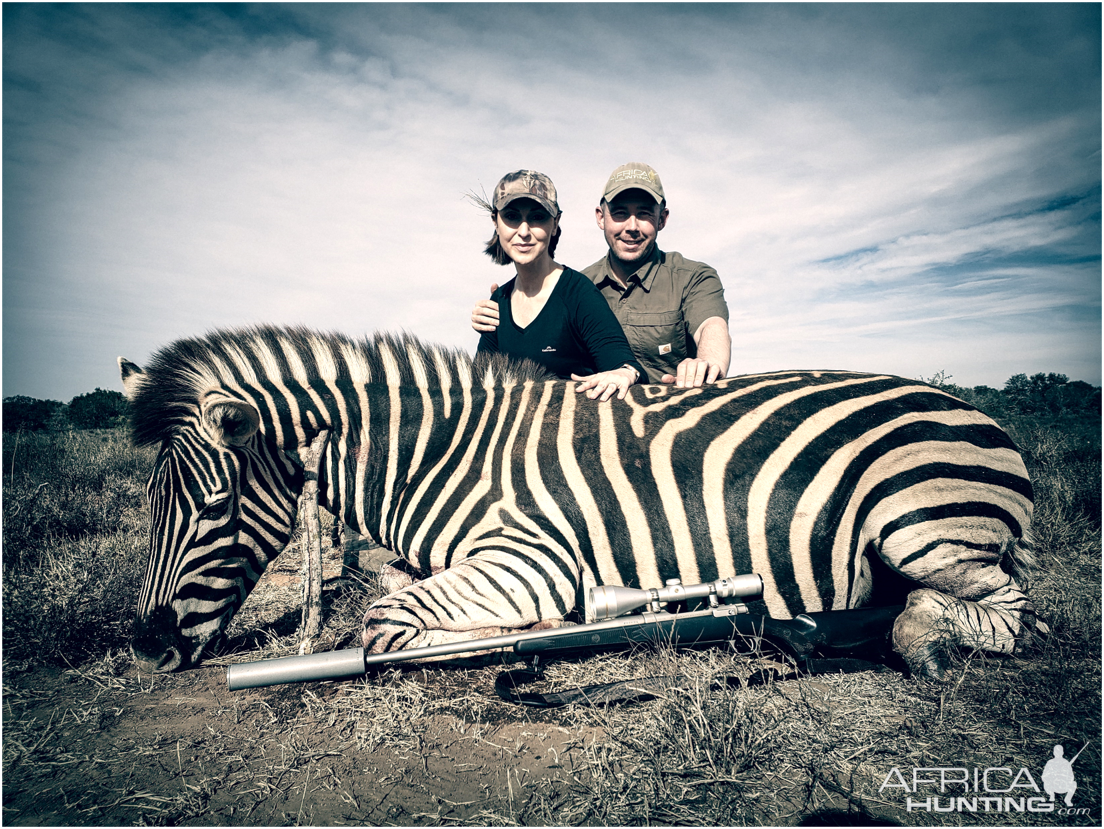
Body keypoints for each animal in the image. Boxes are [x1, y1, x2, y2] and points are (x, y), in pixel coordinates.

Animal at [120, 324, 1042, 679]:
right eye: (155, 501)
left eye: (209, 506)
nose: (147, 643)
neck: (445, 454)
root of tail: (979, 410)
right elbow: (386, 588)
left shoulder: (530, 558)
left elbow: (387, 622)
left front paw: (533, 632)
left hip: (918, 524)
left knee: (1006, 611)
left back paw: (919, 633)